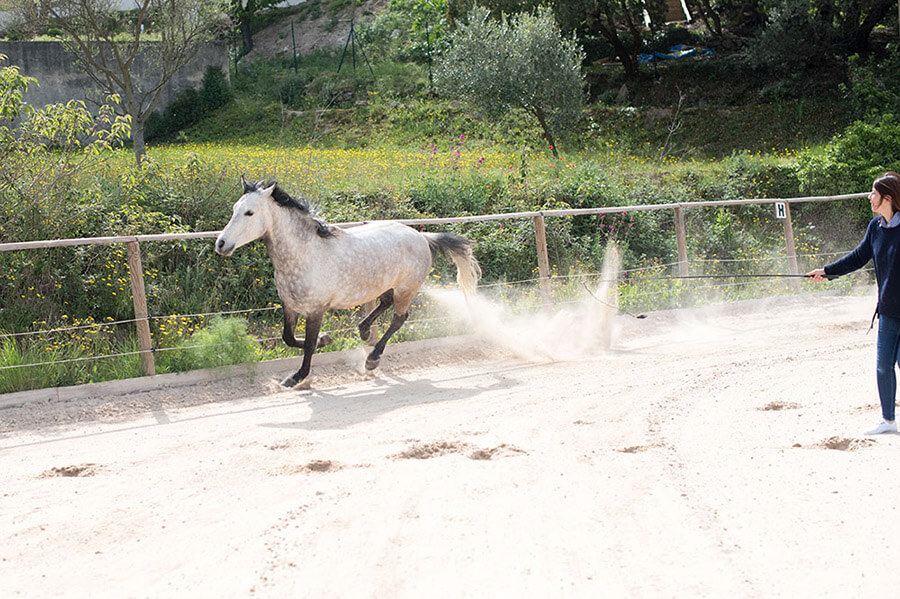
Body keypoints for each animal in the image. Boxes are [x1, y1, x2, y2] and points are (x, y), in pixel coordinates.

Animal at [215, 176, 482, 386]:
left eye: (249, 212)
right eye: (234, 208)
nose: (221, 244)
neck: (304, 254)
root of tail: (423, 237)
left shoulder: (316, 309)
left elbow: (308, 344)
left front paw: (297, 377)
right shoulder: (289, 306)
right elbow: (288, 338)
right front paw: (325, 340)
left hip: (406, 289)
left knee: (399, 319)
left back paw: (372, 359)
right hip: (384, 285)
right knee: (384, 303)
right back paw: (363, 331)